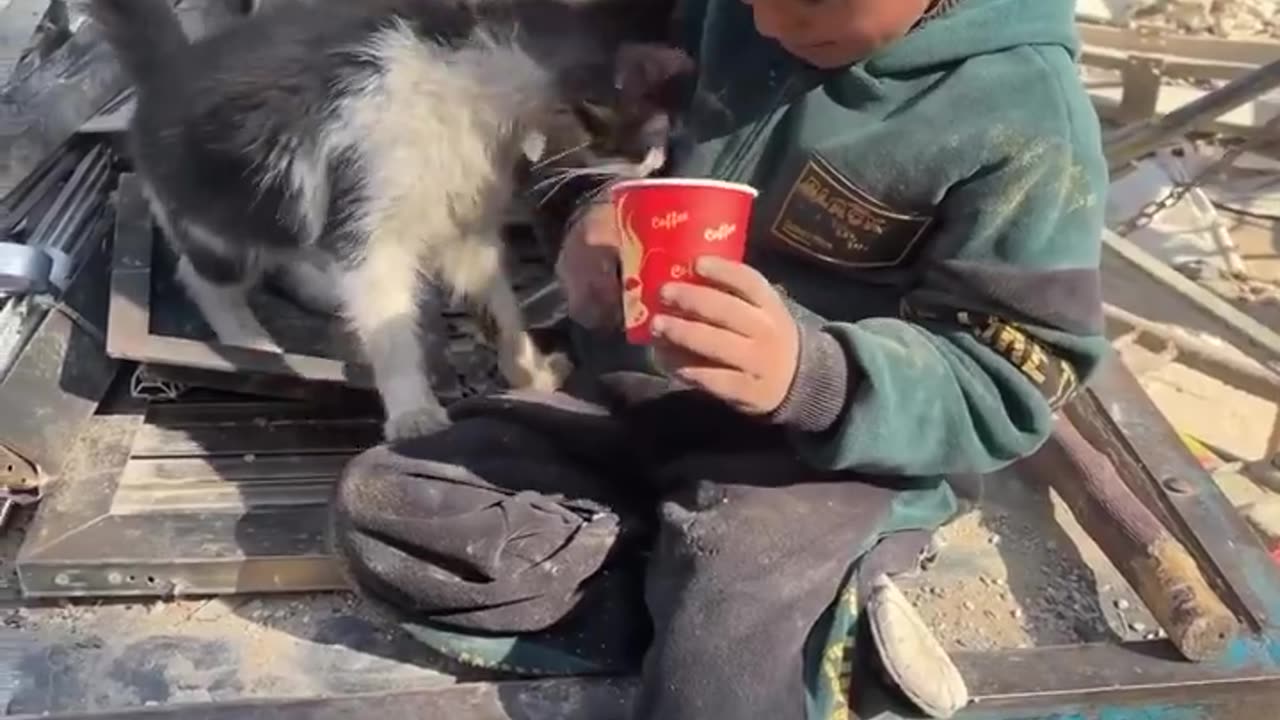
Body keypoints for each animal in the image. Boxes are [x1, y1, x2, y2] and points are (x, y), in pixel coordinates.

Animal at [88, 0, 696, 438]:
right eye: (627, 114)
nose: (658, 157)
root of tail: (166, 71)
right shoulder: (368, 223)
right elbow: (392, 326)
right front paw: (413, 412)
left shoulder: (467, 227)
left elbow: (500, 309)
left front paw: (532, 375)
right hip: (221, 218)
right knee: (205, 276)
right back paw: (250, 341)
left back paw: (318, 290)